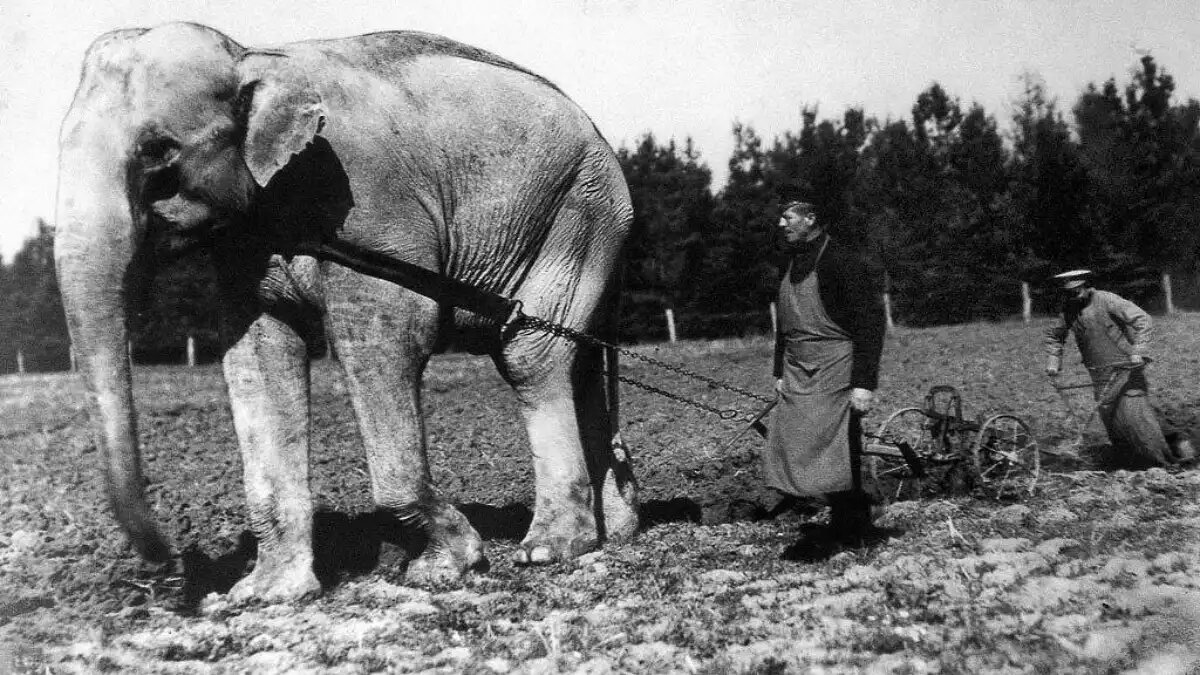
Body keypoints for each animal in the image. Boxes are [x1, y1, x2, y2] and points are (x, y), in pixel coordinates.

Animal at [58, 22, 638, 598]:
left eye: (158, 151)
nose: (170, 566)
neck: (253, 56)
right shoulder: (246, 247)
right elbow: (258, 356)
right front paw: (266, 594)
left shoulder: (371, 205)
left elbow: (387, 336)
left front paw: (446, 568)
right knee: (580, 362)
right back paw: (619, 527)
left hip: (579, 209)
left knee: (531, 358)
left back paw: (549, 549)